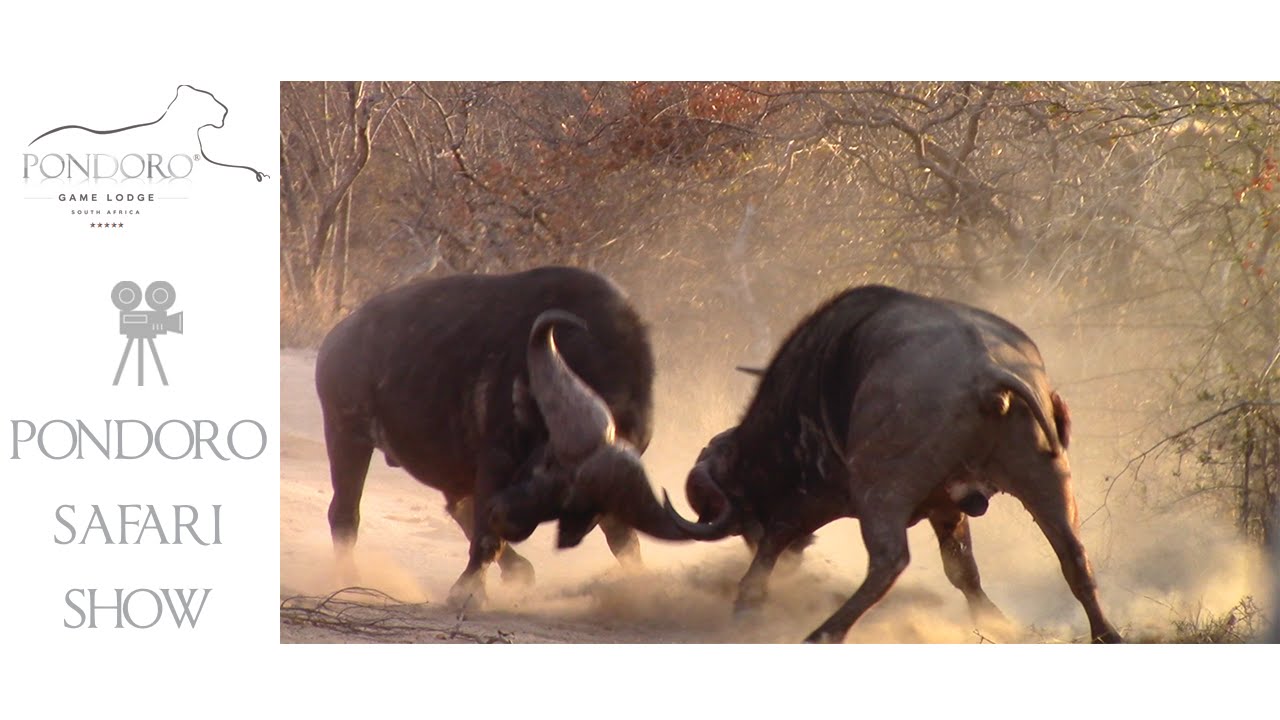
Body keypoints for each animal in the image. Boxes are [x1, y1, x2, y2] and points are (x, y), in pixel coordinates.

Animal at [316, 266, 690, 608]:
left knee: (459, 507)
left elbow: (624, 540)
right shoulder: (496, 460)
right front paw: (467, 591)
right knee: (344, 513)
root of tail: (338, 337)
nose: (504, 516)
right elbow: (486, 539)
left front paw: (641, 581)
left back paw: (518, 568)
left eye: (572, 504)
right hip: (346, 433)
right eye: (548, 463)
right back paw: (348, 578)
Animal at [664, 284, 1123, 643]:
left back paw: (823, 633)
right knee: (1074, 555)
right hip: (1045, 475)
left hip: (880, 491)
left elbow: (776, 536)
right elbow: (962, 570)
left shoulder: (818, 495)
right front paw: (994, 621)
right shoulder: (948, 506)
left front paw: (747, 600)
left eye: (743, 518)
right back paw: (1107, 634)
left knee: (889, 561)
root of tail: (986, 371)